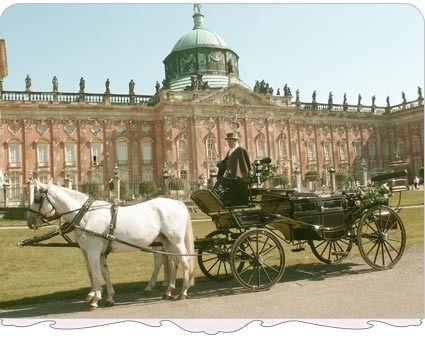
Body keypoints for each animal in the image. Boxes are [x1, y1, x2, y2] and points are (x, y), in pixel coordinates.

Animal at [27, 181, 196, 310]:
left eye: (37, 199)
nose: (29, 221)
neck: (87, 215)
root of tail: (177, 202)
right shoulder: (99, 253)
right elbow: (105, 273)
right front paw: (109, 298)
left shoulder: (93, 252)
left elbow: (95, 274)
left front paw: (95, 300)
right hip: (166, 241)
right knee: (172, 261)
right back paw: (168, 291)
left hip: (175, 240)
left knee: (184, 261)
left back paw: (183, 292)